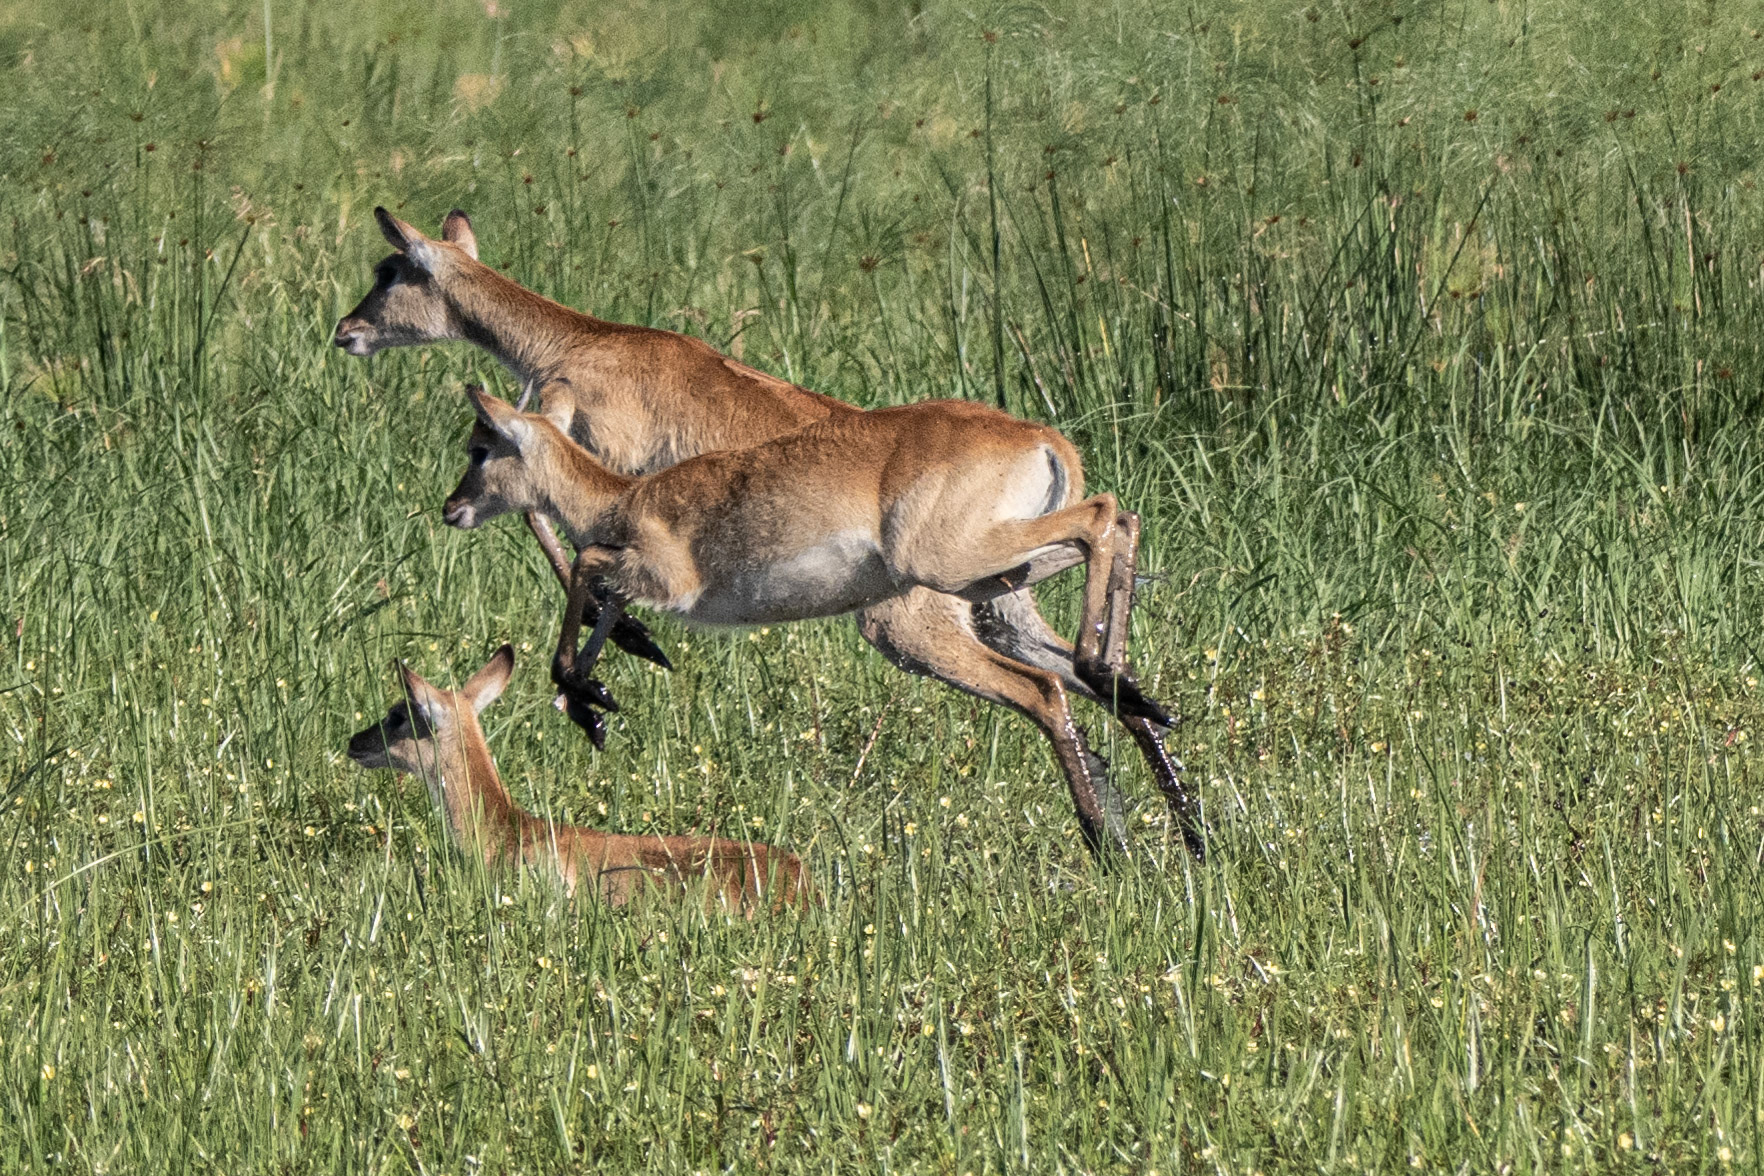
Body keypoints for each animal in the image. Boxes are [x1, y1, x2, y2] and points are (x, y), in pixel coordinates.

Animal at [335, 208, 1199, 858]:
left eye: (389, 270)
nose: (344, 331)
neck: (579, 341)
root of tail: (1047, 443)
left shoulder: (598, 451)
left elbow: (559, 533)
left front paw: (611, 670)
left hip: (922, 616)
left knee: (1068, 646)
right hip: (1001, 599)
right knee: (1103, 678)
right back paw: (1181, 824)